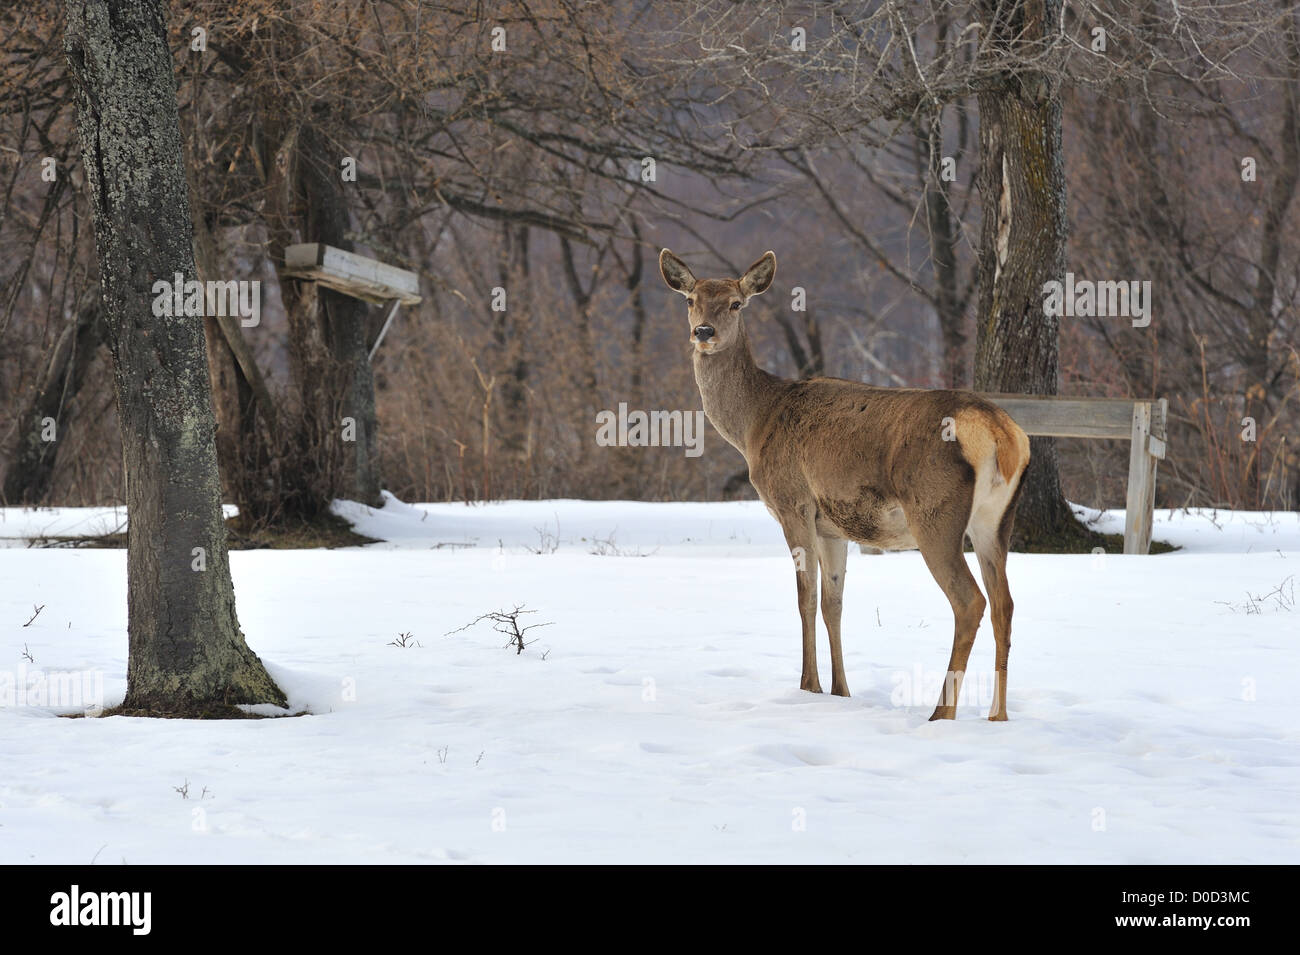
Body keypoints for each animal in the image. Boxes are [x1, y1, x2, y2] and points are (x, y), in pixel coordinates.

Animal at [665, 250, 1029, 722]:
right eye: (690, 299)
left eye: (735, 303)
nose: (703, 333)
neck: (753, 426)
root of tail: (1003, 435)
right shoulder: (832, 527)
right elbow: (832, 603)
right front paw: (841, 690)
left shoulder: (793, 502)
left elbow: (804, 598)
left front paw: (808, 686)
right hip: (997, 519)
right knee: (1005, 603)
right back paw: (997, 716)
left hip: (935, 512)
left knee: (970, 601)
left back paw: (941, 713)